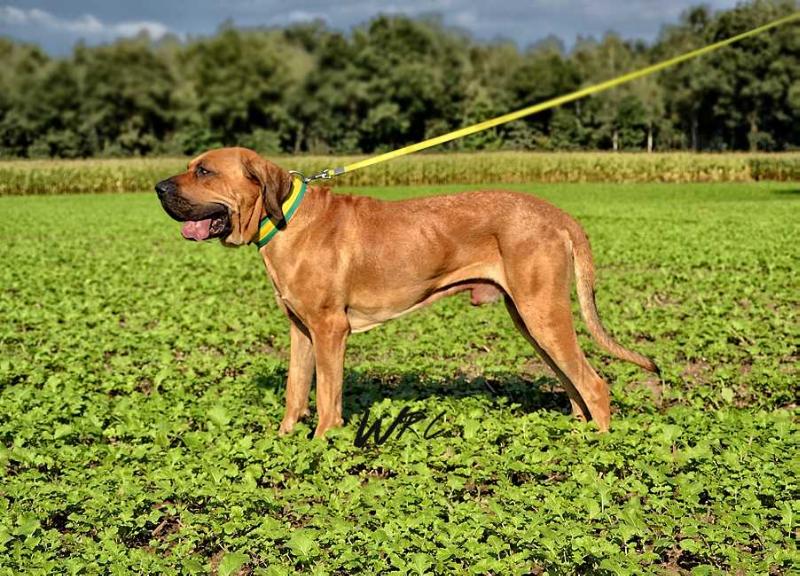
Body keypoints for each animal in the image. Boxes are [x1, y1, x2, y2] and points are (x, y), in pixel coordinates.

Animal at [156, 147, 656, 436]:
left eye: (204, 171)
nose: (157, 187)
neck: (284, 220)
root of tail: (558, 214)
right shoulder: (301, 331)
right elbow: (296, 393)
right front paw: (285, 441)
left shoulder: (330, 331)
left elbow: (326, 401)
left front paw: (322, 446)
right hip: (532, 318)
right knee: (574, 385)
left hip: (542, 313)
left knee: (595, 385)